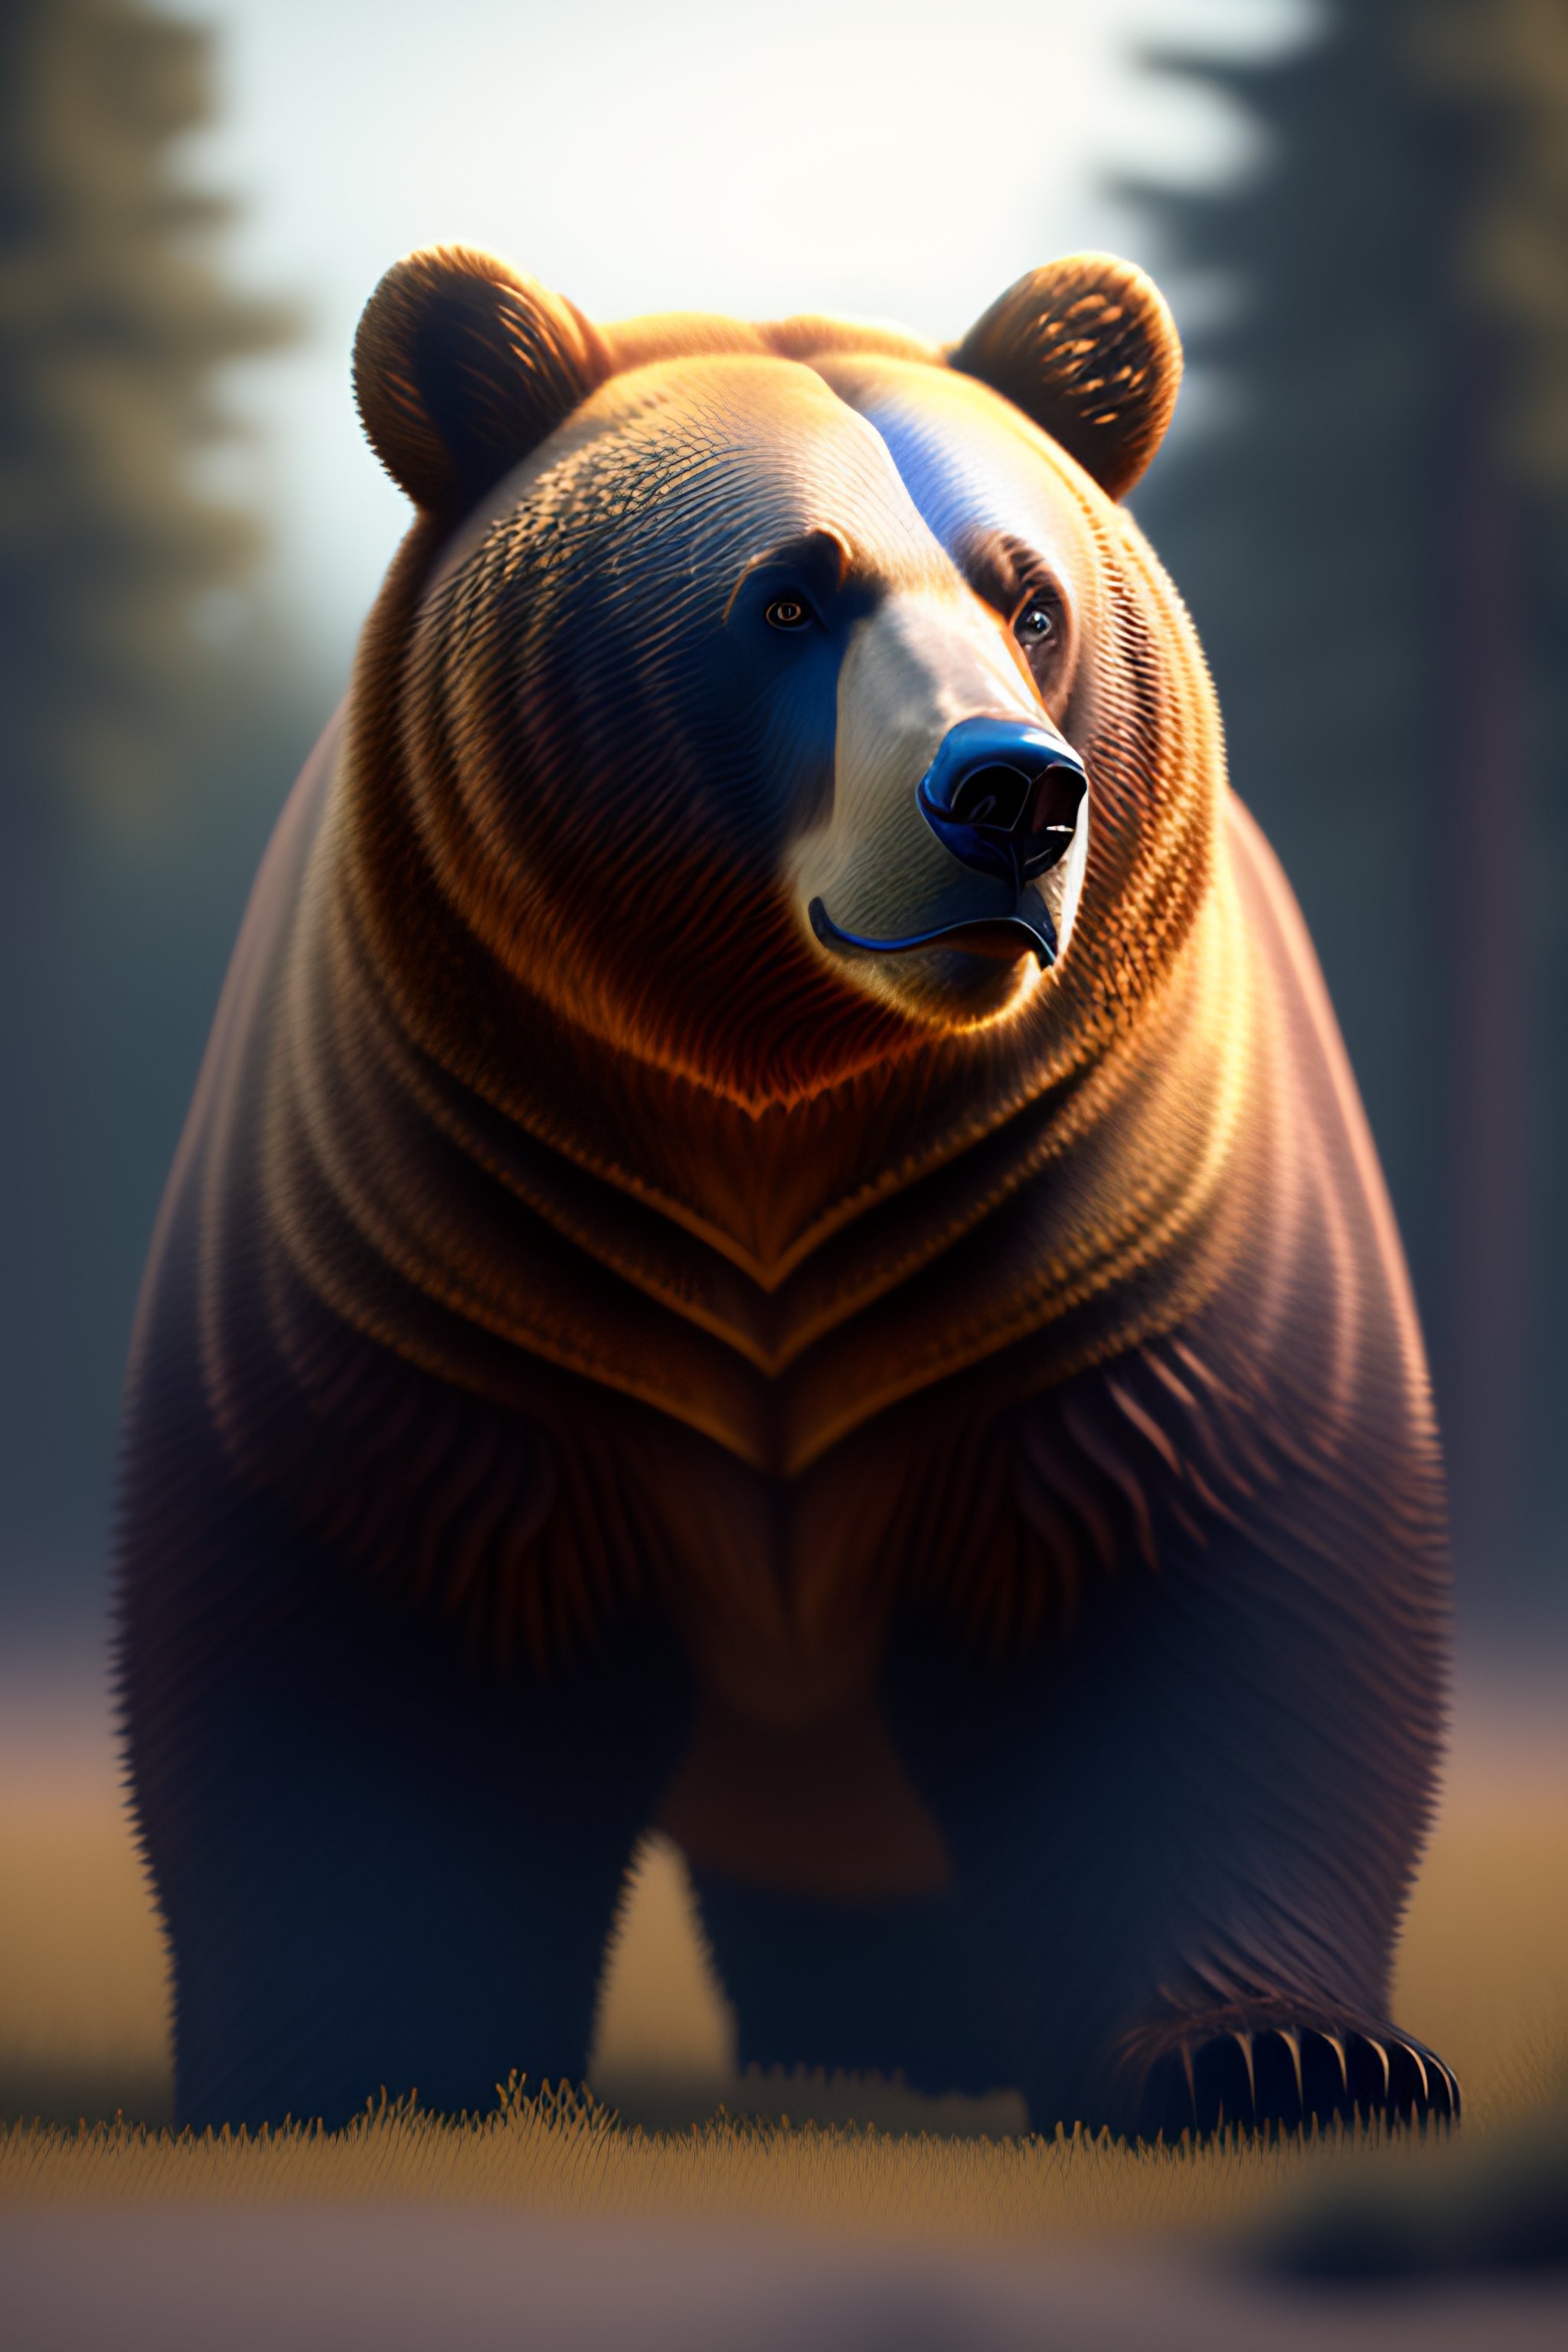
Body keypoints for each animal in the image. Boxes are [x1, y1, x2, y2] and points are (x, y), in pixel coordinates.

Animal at [117, 242, 1459, 2139]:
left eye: (1027, 597)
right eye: (787, 601)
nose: (1012, 794)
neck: (787, 1104)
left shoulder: (1118, 1240)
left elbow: (1205, 1589)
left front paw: (1282, 2052)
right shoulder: (436, 1246)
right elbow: (370, 1609)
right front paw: (359, 2065)